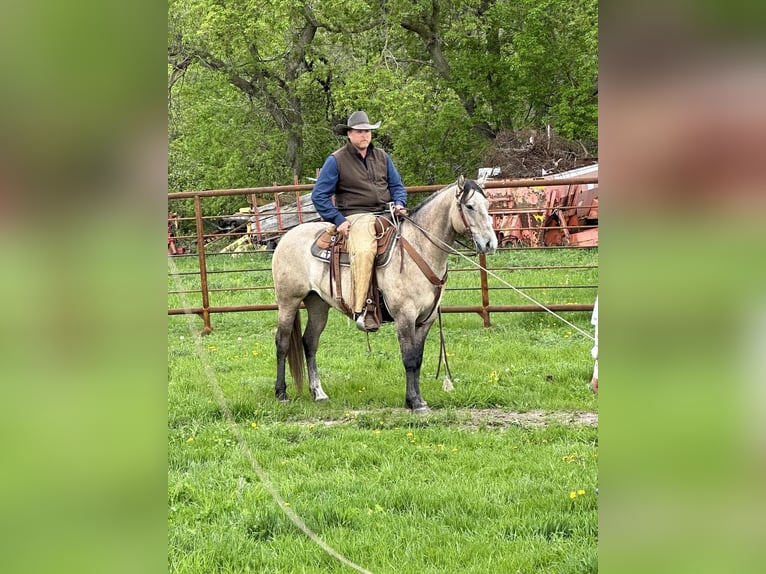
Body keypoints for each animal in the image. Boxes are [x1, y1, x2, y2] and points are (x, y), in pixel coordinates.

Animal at [270, 176, 498, 414]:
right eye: (469, 206)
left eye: (487, 204)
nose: (490, 243)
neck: (419, 249)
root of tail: (286, 237)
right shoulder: (405, 316)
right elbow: (409, 359)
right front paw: (415, 402)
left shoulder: (426, 319)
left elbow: (418, 358)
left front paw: (416, 400)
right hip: (288, 301)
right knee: (282, 341)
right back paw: (281, 393)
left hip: (318, 304)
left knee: (310, 342)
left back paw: (318, 393)